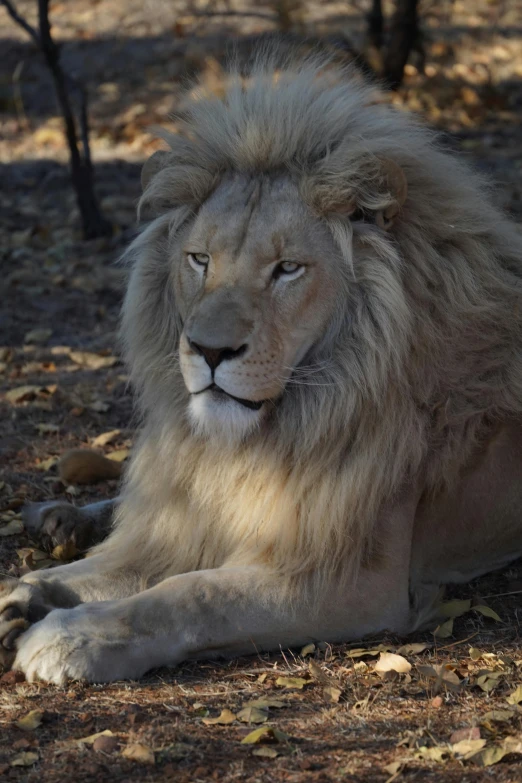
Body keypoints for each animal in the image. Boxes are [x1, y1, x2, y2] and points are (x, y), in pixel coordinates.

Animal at [1, 53, 520, 688]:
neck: (264, 440)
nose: (209, 350)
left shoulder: (353, 579)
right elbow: (122, 560)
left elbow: (190, 594)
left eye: (287, 269)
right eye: (200, 259)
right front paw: (31, 592)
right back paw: (57, 518)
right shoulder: (196, 517)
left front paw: (72, 636)